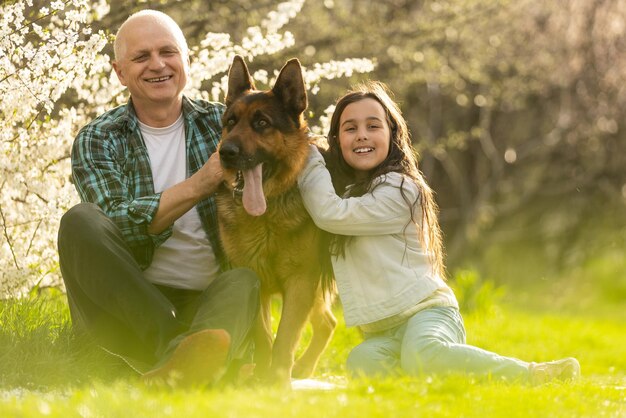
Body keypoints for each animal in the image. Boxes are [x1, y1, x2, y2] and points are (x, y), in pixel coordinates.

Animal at [217, 55, 338, 386]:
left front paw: (278, 384)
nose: (225, 152)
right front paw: (262, 377)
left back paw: (302, 370)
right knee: (327, 322)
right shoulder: (254, 282)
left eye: (262, 123)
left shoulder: (300, 283)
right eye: (230, 122)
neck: (266, 217)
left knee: (327, 323)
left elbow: (284, 339)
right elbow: (264, 336)